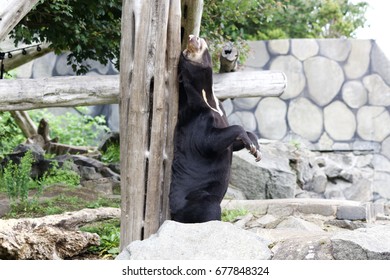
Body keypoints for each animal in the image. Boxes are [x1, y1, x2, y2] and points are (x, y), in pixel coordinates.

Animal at [169, 35, 260, 223]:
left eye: (196, 41)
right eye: (186, 53)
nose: (191, 37)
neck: (207, 96)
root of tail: (174, 215)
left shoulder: (219, 110)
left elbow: (233, 144)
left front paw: (254, 147)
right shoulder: (199, 121)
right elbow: (210, 142)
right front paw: (249, 143)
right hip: (200, 198)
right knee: (210, 209)